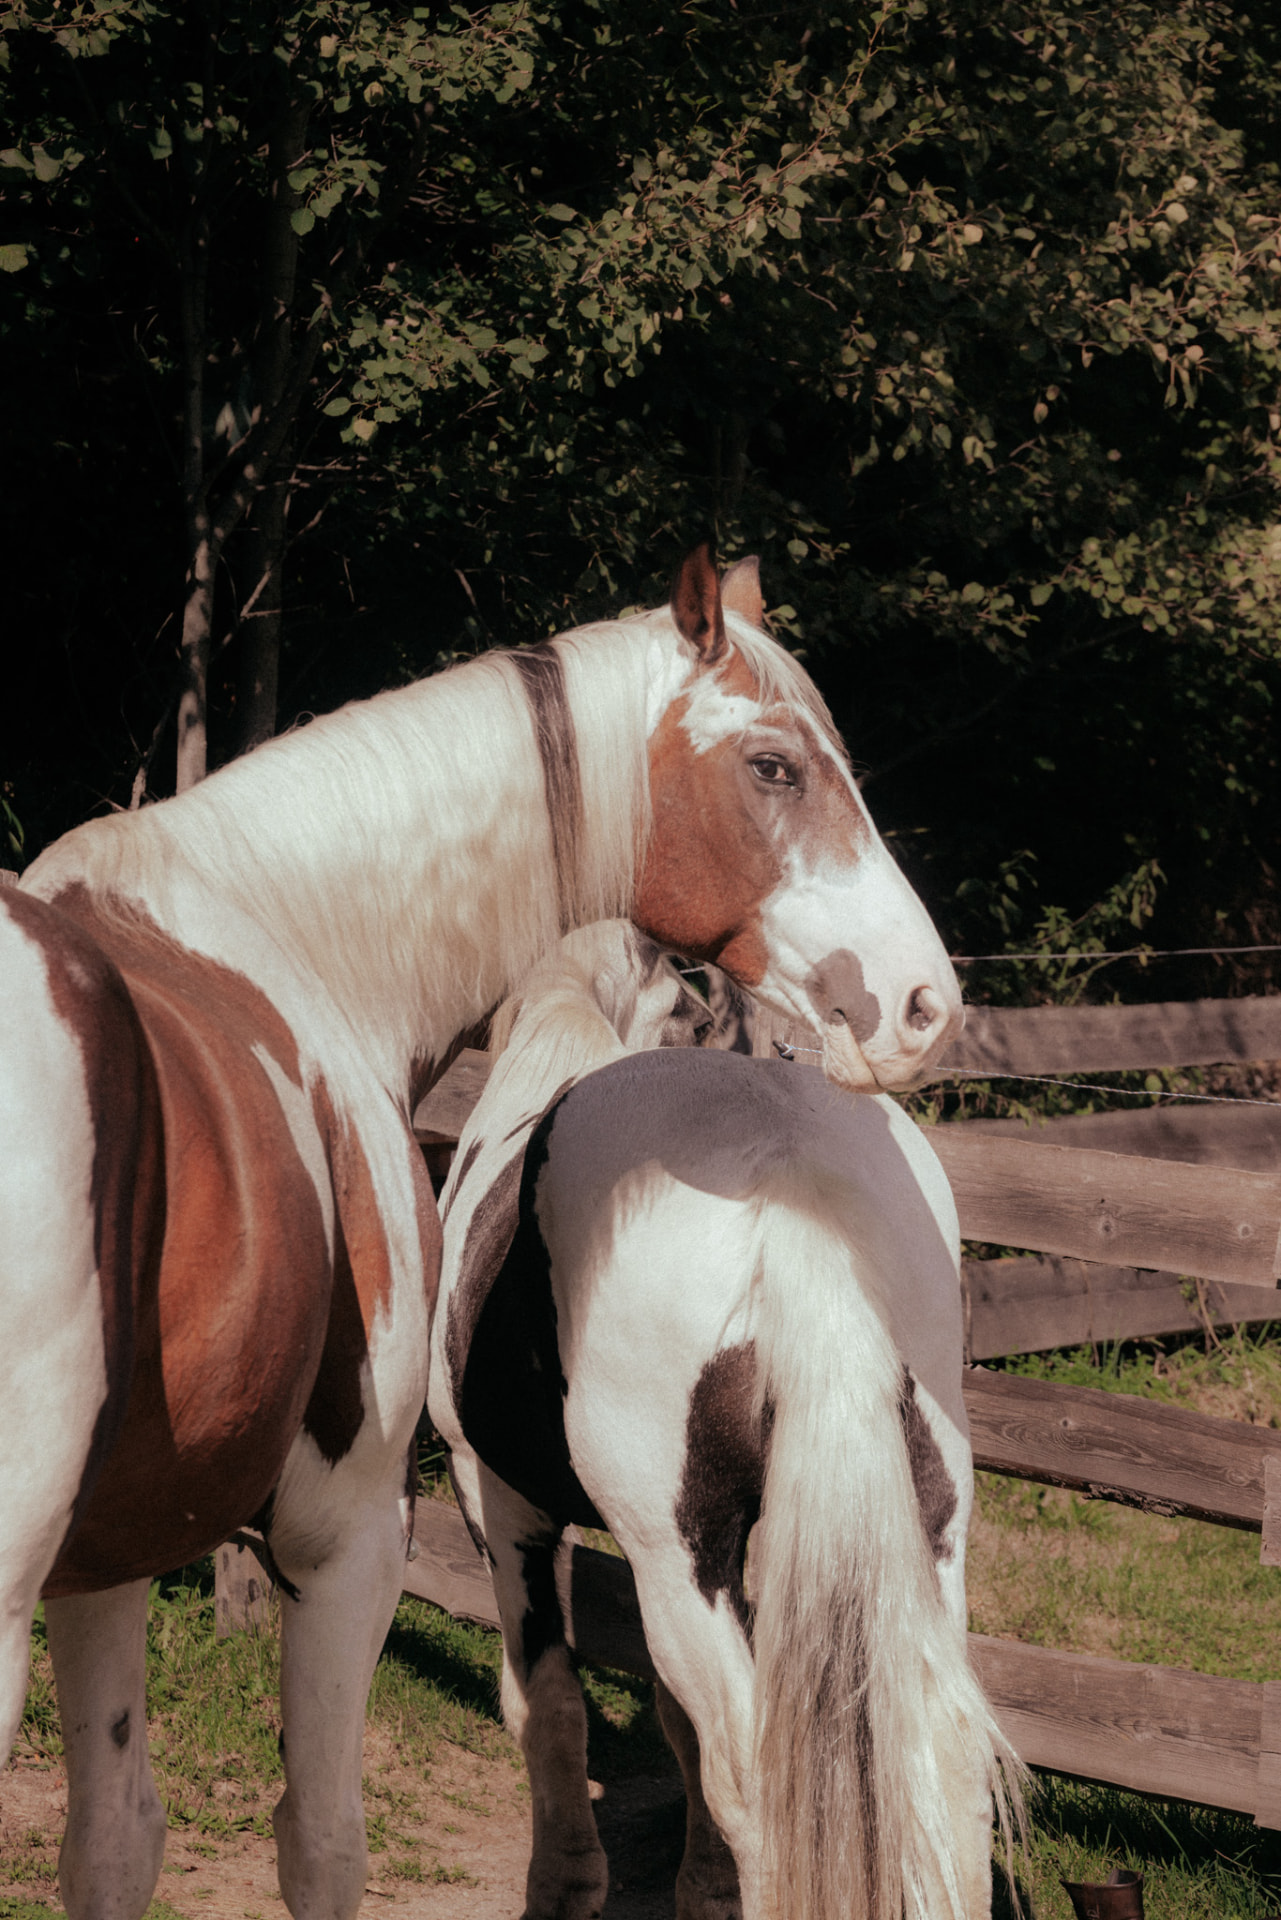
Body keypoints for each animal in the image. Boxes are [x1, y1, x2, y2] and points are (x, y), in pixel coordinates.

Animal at [430, 920, 1017, 1920]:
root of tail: (791, 1191)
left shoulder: (498, 1502)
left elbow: (547, 1704)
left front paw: (563, 1887)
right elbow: (675, 1720)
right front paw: (701, 1890)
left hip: (675, 1557)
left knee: (754, 1773)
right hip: (929, 1535)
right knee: (945, 1755)